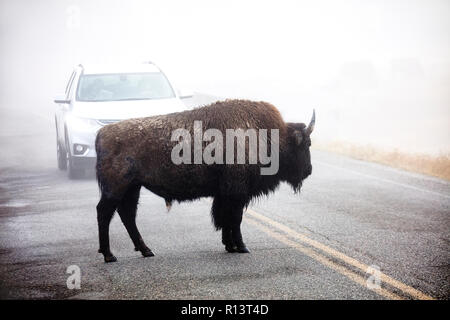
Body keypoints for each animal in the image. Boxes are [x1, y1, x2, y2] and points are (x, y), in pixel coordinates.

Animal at [95, 100, 312, 262]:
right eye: (306, 144)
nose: (309, 170)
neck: (269, 136)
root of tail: (101, 133)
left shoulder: (225, 194)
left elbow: (225, 219)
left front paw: (230, 246)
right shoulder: (237, 193)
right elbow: (235, 219)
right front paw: (242, 247)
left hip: (132, 188)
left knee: (127, 215)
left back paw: (146, 250)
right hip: (116, 188)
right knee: (105, 213)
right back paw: (109, 255)